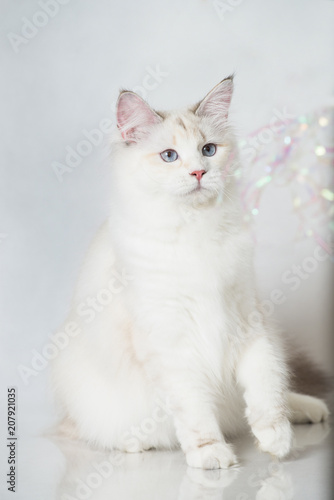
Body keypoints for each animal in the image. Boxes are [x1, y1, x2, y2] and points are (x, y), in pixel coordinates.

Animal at [52, 77, 328, 468]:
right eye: (170, 156)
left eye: (208, 150)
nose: (198, 172)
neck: (196, 227)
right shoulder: (171, 342)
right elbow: (195, 410)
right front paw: (211, 455)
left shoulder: (247, 319)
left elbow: (265, 385)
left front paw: (275, 438)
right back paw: (138, 442)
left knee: (270, 395)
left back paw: (307, 410)